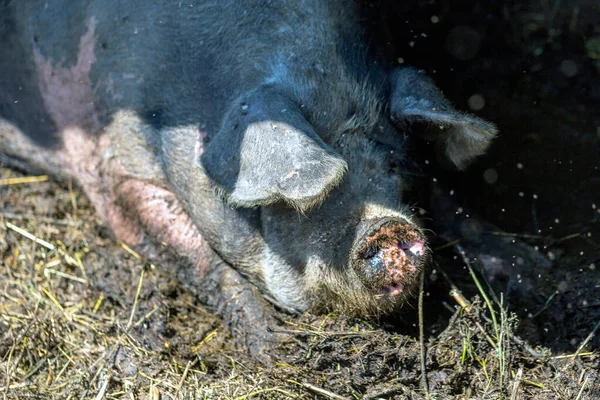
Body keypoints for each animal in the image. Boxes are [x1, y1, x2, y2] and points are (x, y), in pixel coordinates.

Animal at [1, 0, 496, 344]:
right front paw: (275, 345)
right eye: (295, 200)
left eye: (392, 166)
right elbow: (191, 254)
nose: (389, 228)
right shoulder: (119, 165)